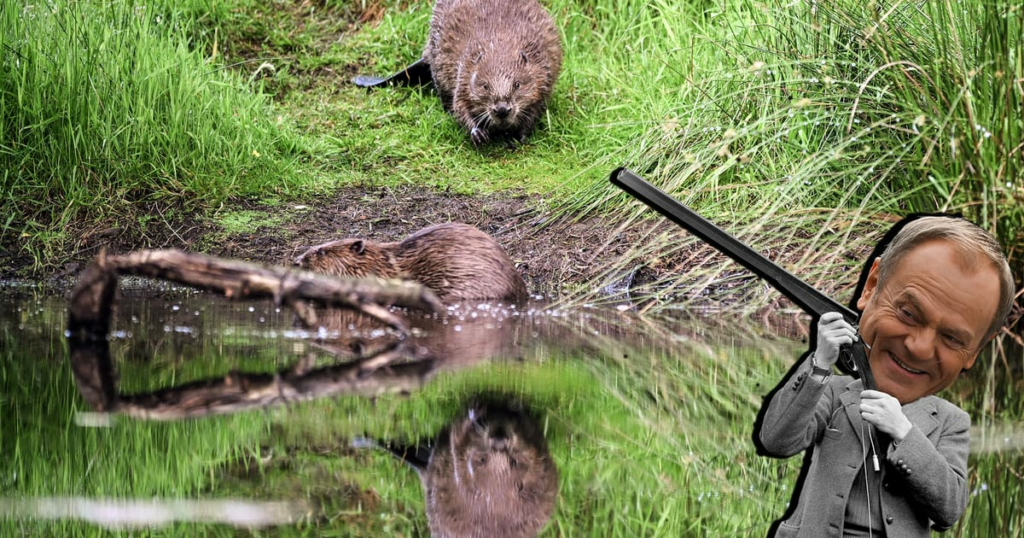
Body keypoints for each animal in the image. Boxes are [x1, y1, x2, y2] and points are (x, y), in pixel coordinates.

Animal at [425, 0, 569, 145]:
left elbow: (537, 110)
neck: (500, 47)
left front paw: (517, 137)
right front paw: (478, 133)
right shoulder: (465, 72)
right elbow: (460, 105)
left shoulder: (543, 75)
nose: (502, 110)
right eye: (485, 86)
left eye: (517, 84)